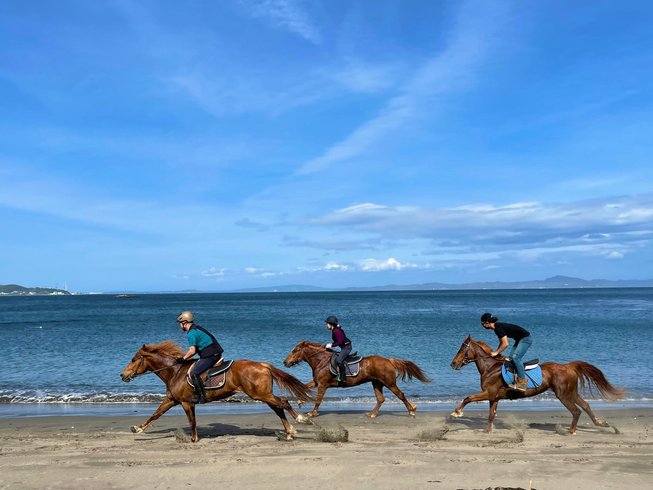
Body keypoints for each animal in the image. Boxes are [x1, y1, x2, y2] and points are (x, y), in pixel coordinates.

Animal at [123, 342, 316, 442]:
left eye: (133, 359)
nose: (122, 375)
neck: (174, 371)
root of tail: (263, 365)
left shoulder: (185, 403)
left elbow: (191, 421)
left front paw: (194, 440)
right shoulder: (172, 400)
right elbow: (155, 414)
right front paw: (137, 428)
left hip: (260, 394)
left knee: (283, 402)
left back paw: (301, 420)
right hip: (263, 395)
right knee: (278, 408)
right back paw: (289, 432)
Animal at [282, 340, 430, 418]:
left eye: (295, 350)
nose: (285, 362)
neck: (321, 361)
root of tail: (388, 360)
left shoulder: (323, 384)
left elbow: (318, 400)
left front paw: (313, 413)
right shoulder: (317, 382)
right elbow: (304, 386)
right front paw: (300, 401)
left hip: (389, 383)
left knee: (400, 395)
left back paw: (411, 410)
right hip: (377, 383)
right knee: (380, 399)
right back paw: (372, 414)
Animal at [448, 334, 620, 434]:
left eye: (462, 348)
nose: (452, 363)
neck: (490, 368)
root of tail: (569, 366)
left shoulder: (488, 393)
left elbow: (468, 398)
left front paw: (456, 412)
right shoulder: (494, 397)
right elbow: (491, 415)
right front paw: (487, 431)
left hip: (563, 395)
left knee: (576, 411)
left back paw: (571, 431)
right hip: (571, 392)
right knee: (585, 406)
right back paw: (601, 423)